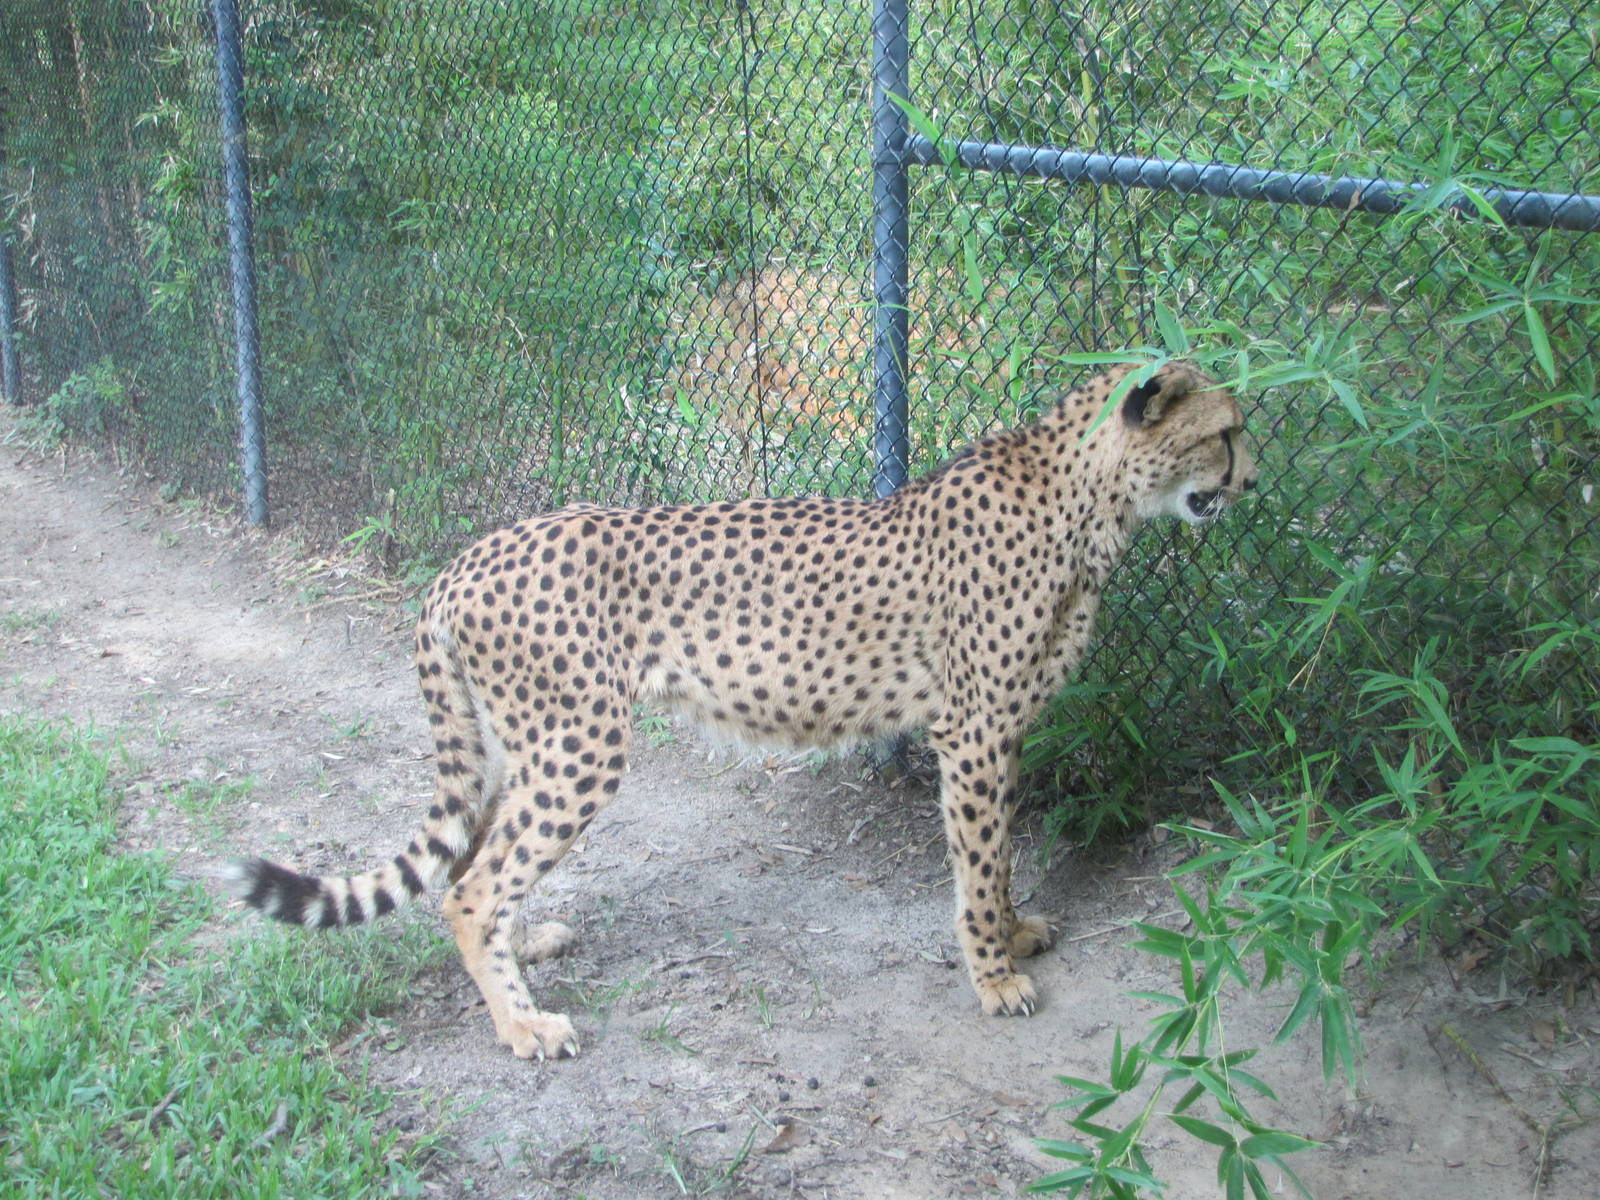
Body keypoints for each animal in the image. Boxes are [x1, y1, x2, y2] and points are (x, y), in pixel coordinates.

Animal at [225, 359, 1258, 1061]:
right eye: (1227, 432)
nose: (1252, 478)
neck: (1094, 506)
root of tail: (466, 559)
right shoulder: (971, 731)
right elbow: (979, 859)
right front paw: (995, 974)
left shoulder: (993, 732)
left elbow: (996, 859)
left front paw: (1014, 934)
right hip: (580, 745)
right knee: (472, 886)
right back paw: (524, 1024)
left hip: (518, 747)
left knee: (471, 861)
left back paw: (529, 945)